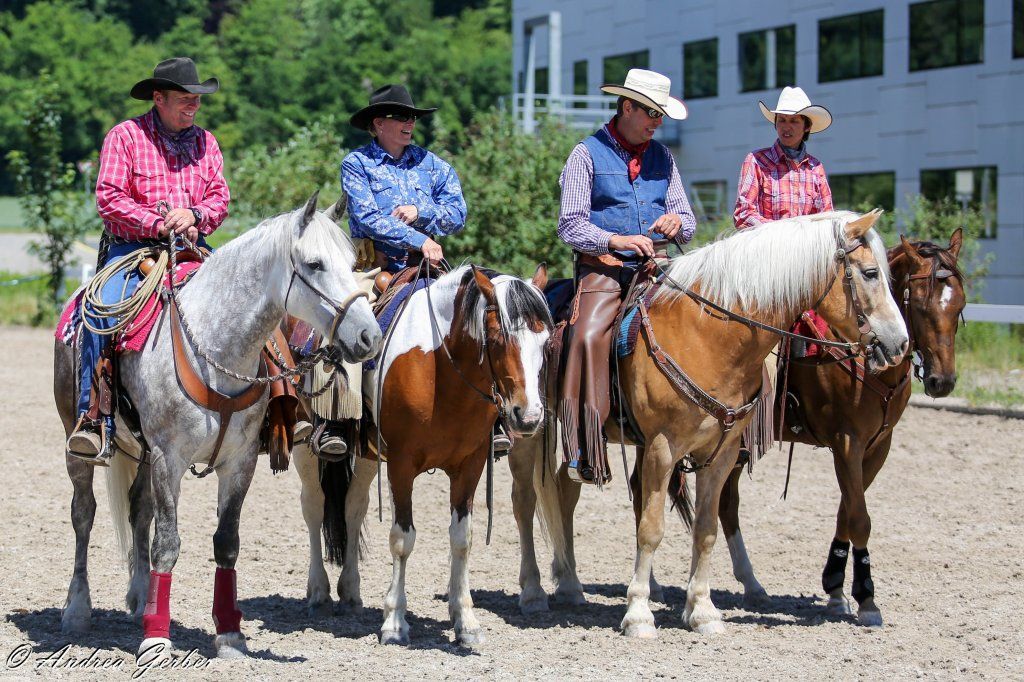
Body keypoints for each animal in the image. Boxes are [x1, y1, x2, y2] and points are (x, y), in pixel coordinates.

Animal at [53, 194, 382, 661]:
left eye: (353, 261)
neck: (214, 346)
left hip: (142, 452)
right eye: (315, 263)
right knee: (84, 513)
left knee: (138, 512)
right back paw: (77, 609)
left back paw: (138, 599)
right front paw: (157, 638)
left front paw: (229, 635)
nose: (369, 337)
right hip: (77, 441)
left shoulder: (238, 463)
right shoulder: (169, 459)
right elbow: (167, 544)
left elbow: (226, 542)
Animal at [294, 264, 551, 647]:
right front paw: (394, 622)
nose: (529, 416)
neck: (441, 371)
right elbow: (403, 540)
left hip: (367, 455)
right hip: (303, 443)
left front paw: (466, 621)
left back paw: (350, 593)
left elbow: (462, 538)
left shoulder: (470, 466)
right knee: (313, 507)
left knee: (354, 507)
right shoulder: (402, 466)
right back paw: (319, 593)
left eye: (546, 341)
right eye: (498, 337)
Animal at [509, 209, 909, 636]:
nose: (900, 343)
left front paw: (701, 610)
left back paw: (570, 585)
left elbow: (706, 529)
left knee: (564, 494)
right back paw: (533, 592)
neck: (709, 335)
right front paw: (638, 614)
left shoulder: (721, 454)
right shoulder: (663, 448)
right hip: (530, 427)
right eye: (870, 273)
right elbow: (651, 529)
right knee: (526, 501)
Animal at [711, 228, 965, 627]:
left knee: (725, 503)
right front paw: (866, 598)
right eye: (921, 306)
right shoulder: (848, 442)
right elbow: (860, 518)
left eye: (960, 307)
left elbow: (848, 510)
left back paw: (752, 584)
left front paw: (835, 588)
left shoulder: (878, 445)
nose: (943, 381)